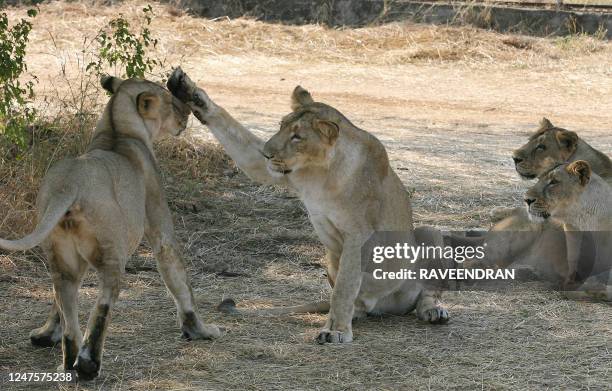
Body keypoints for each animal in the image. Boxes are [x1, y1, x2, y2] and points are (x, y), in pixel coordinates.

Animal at [0, 76, 220, 380]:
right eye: (170, 101)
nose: (186, 113)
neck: (118, 130)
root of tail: (68, 185)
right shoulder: (159, 221)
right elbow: (179, 279)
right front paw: (200, 330)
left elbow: (57, 307)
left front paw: (45, 335)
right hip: (113, 252)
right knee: (103, 304)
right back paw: (88, 364)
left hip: (61, 257)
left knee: (66, 304)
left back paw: (69, 363)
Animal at [167, 69, 450, 344]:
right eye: (281, 126)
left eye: (298, 137)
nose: (267, 153)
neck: (320, 173)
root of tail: (381, 306)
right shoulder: (272, 170)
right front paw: (189, 92)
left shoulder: (359, 234)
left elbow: (344, 287)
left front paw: (335, 331)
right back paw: (357, 314)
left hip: (429, 234)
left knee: (425, 293)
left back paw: (433, 310)